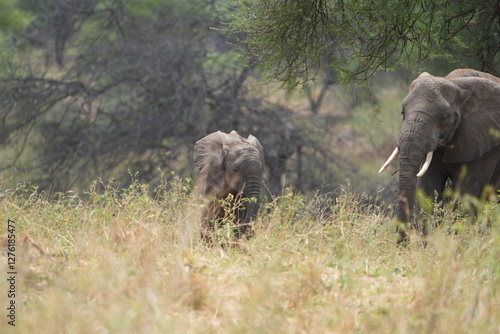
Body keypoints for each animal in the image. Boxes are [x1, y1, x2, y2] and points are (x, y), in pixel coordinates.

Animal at [378, 68, 500, 243]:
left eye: (445, 116)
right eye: (402, 112)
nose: (403, 243)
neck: (455, 82)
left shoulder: (486, 141)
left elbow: (466, 192)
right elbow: (428, 188)